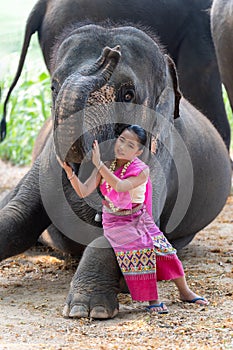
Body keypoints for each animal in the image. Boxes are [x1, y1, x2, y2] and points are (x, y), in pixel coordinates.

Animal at [0, 19, 231, 320]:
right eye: (53, 86)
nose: (109, 52)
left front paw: (87, 310)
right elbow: (17, 217)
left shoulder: (161, 157)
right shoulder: (46, 158)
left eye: (128, 94)